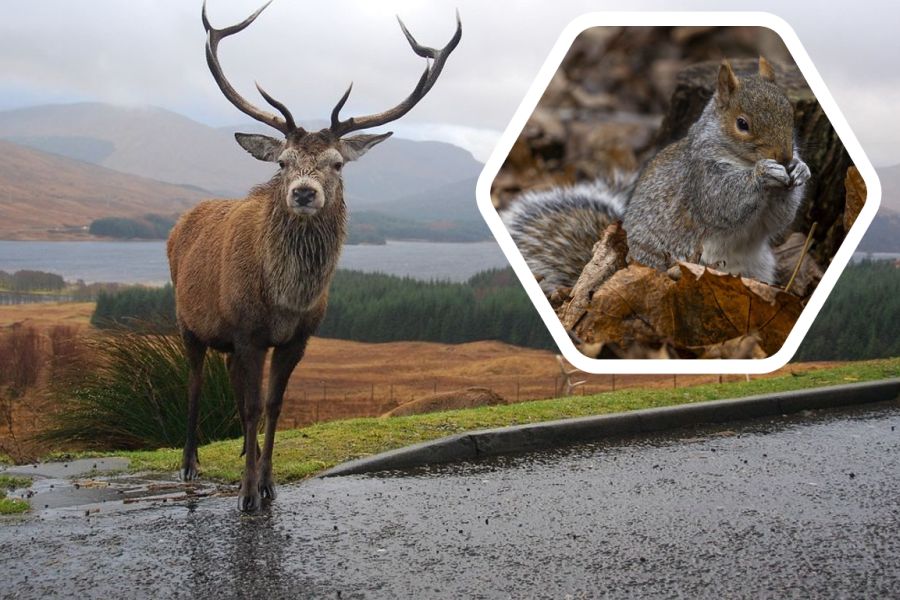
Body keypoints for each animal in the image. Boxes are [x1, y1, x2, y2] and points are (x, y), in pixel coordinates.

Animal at [502, 57, 812, 292]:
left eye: (790, 113)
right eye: (742, 124)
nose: (784, 157)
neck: (741, 161)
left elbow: (778, 220)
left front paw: (800, 168)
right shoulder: (701, 178)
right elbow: (723, 203)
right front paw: (764, 172)